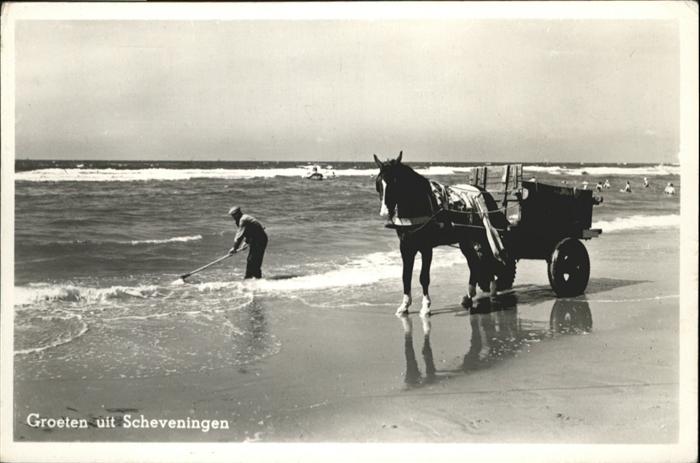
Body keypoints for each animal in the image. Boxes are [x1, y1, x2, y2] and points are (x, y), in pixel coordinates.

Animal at [374, 151, 506, 317]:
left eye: (395, 182)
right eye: (379, 183)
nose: (385, 212)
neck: (418, 204)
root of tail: (483, 193)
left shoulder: (426, 248)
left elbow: (423, 277)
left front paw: (426, 306)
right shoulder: (406, 248)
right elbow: (406, 276)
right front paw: (404, 305)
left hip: (482, 237)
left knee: (489, 259)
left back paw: (493, 292)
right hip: (466, 241)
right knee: (474, 263)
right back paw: (469, 296)